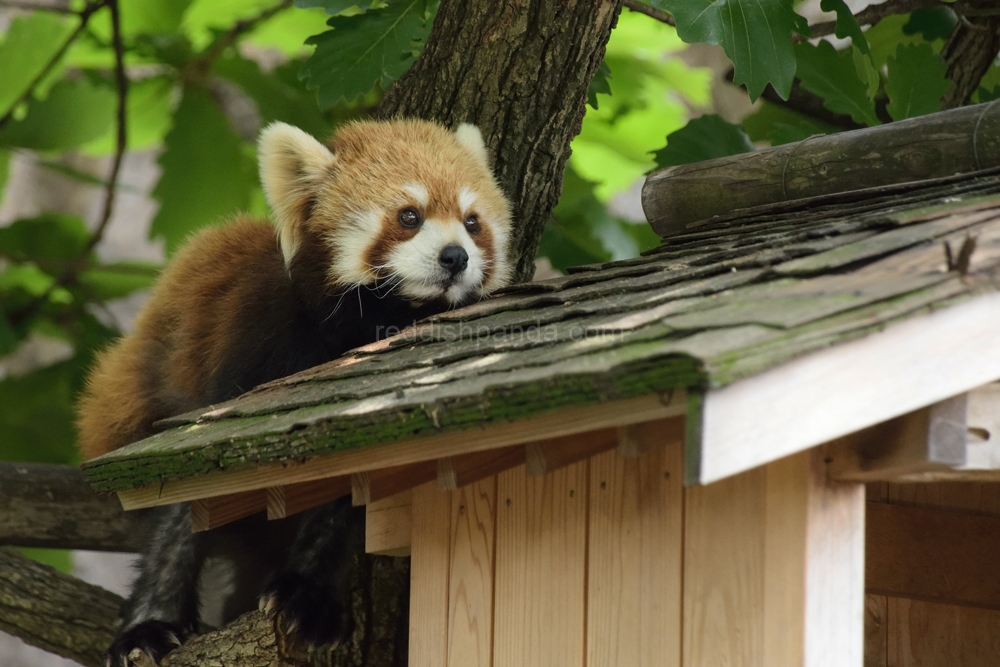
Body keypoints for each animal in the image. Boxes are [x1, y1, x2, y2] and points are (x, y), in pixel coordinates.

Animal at [77, 117, 512, 664]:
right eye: (409, 216)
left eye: (473, 222)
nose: (456, 256)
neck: (367, 323)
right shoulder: (253, 347)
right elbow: (185, 498)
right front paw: (151, 624)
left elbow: (341, 502)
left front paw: (307, 598)